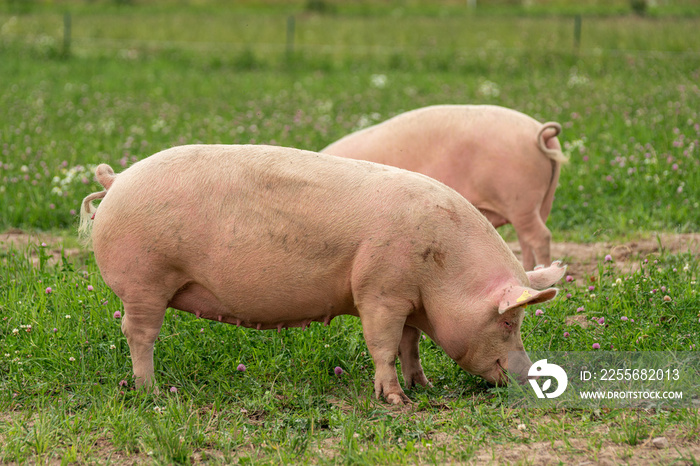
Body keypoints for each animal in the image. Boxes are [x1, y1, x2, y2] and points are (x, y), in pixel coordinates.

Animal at [80, 144, 564, 402]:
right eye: (509, 321)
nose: (532, 374)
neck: (442, 270)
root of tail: (115, 180)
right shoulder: (379, 291)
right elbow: (383, 345)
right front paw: (396, 400)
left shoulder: (408, 298)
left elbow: (410, 344)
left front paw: (423, 386)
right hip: (144, 281)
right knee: (138, 333)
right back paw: (154, 391)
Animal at [322, 104, 568, 274]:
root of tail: (541, 133)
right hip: (541, 200)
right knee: (527, 237)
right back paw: (530, 269)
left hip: (519, 198)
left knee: (540, 236)